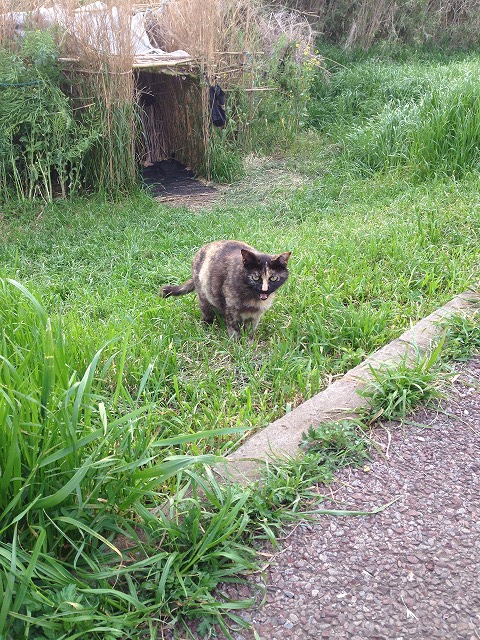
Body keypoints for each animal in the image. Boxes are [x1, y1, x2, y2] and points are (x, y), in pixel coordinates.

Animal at [159, 240, 291, 338]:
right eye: (255, 277)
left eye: (273, 278)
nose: (264, 290)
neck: (254, 299)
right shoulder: (231, 312)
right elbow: (234, 331)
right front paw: (237, 347)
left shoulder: (255, 317)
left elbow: (250, 332)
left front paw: (249, 345)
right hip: (204, 298)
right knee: (207, 314)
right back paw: (207, 327)